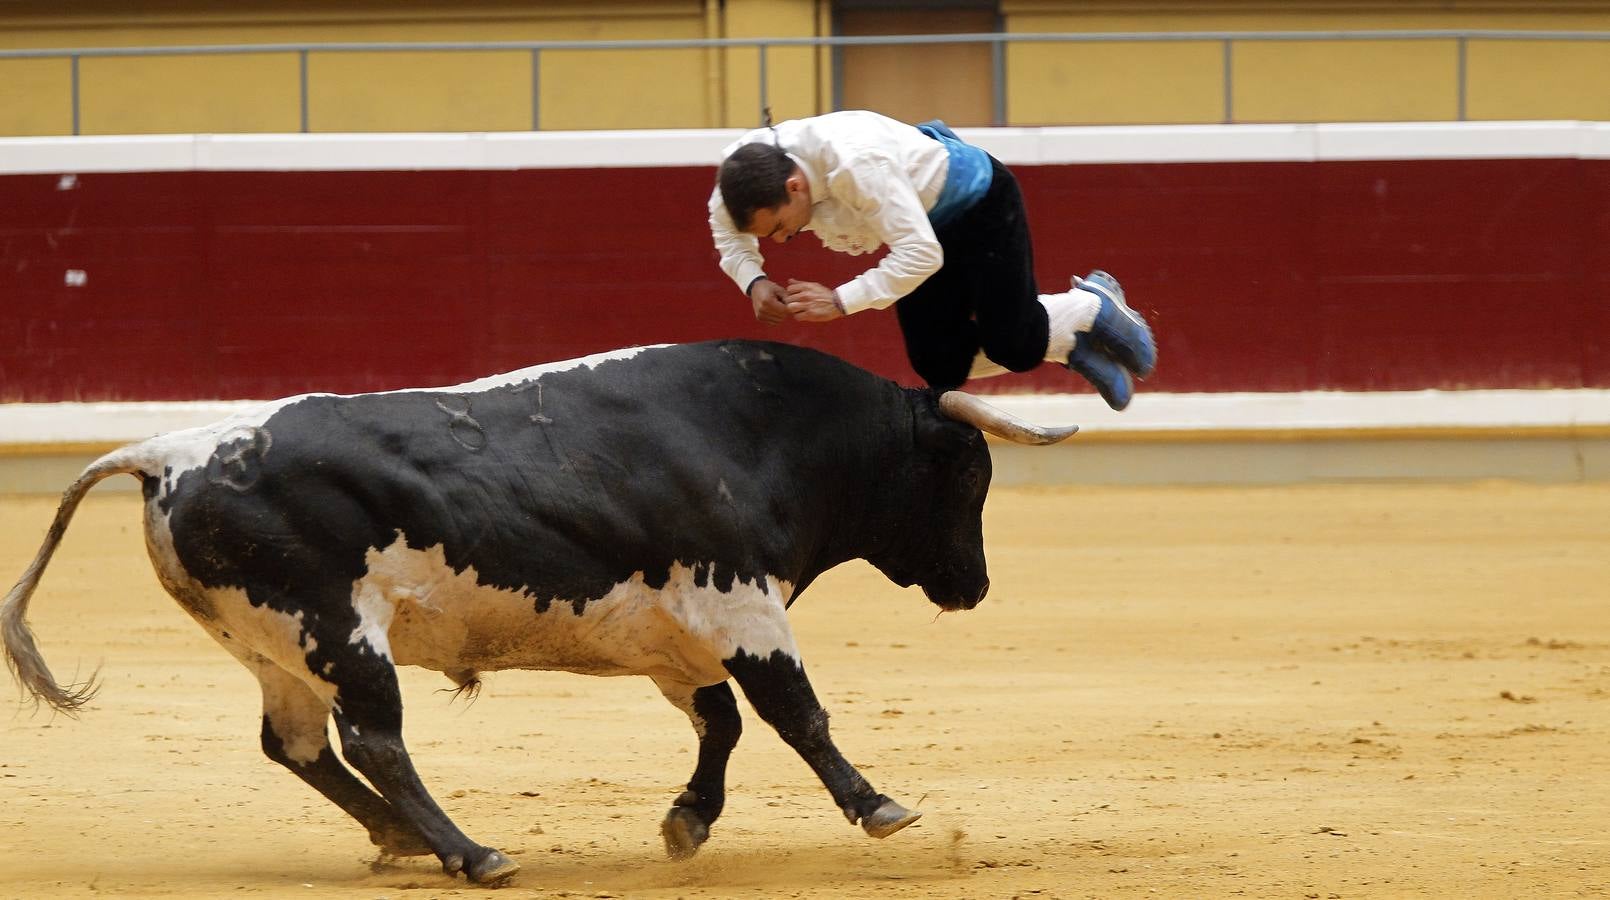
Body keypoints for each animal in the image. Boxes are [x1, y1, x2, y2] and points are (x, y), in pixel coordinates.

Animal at [6, 339, 1075, 888]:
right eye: (967, 473)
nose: (974, 586)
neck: (756, 429)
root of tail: (165, 452)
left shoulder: (676, 637)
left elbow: (723, 723)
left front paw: (687, 823)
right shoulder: (739, 606)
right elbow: (795, 714)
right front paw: (879, 807)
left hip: (275, 647)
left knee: (298, 746)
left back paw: (401, 840)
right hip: (339, 632)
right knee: (376, 741)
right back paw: (471, 852)